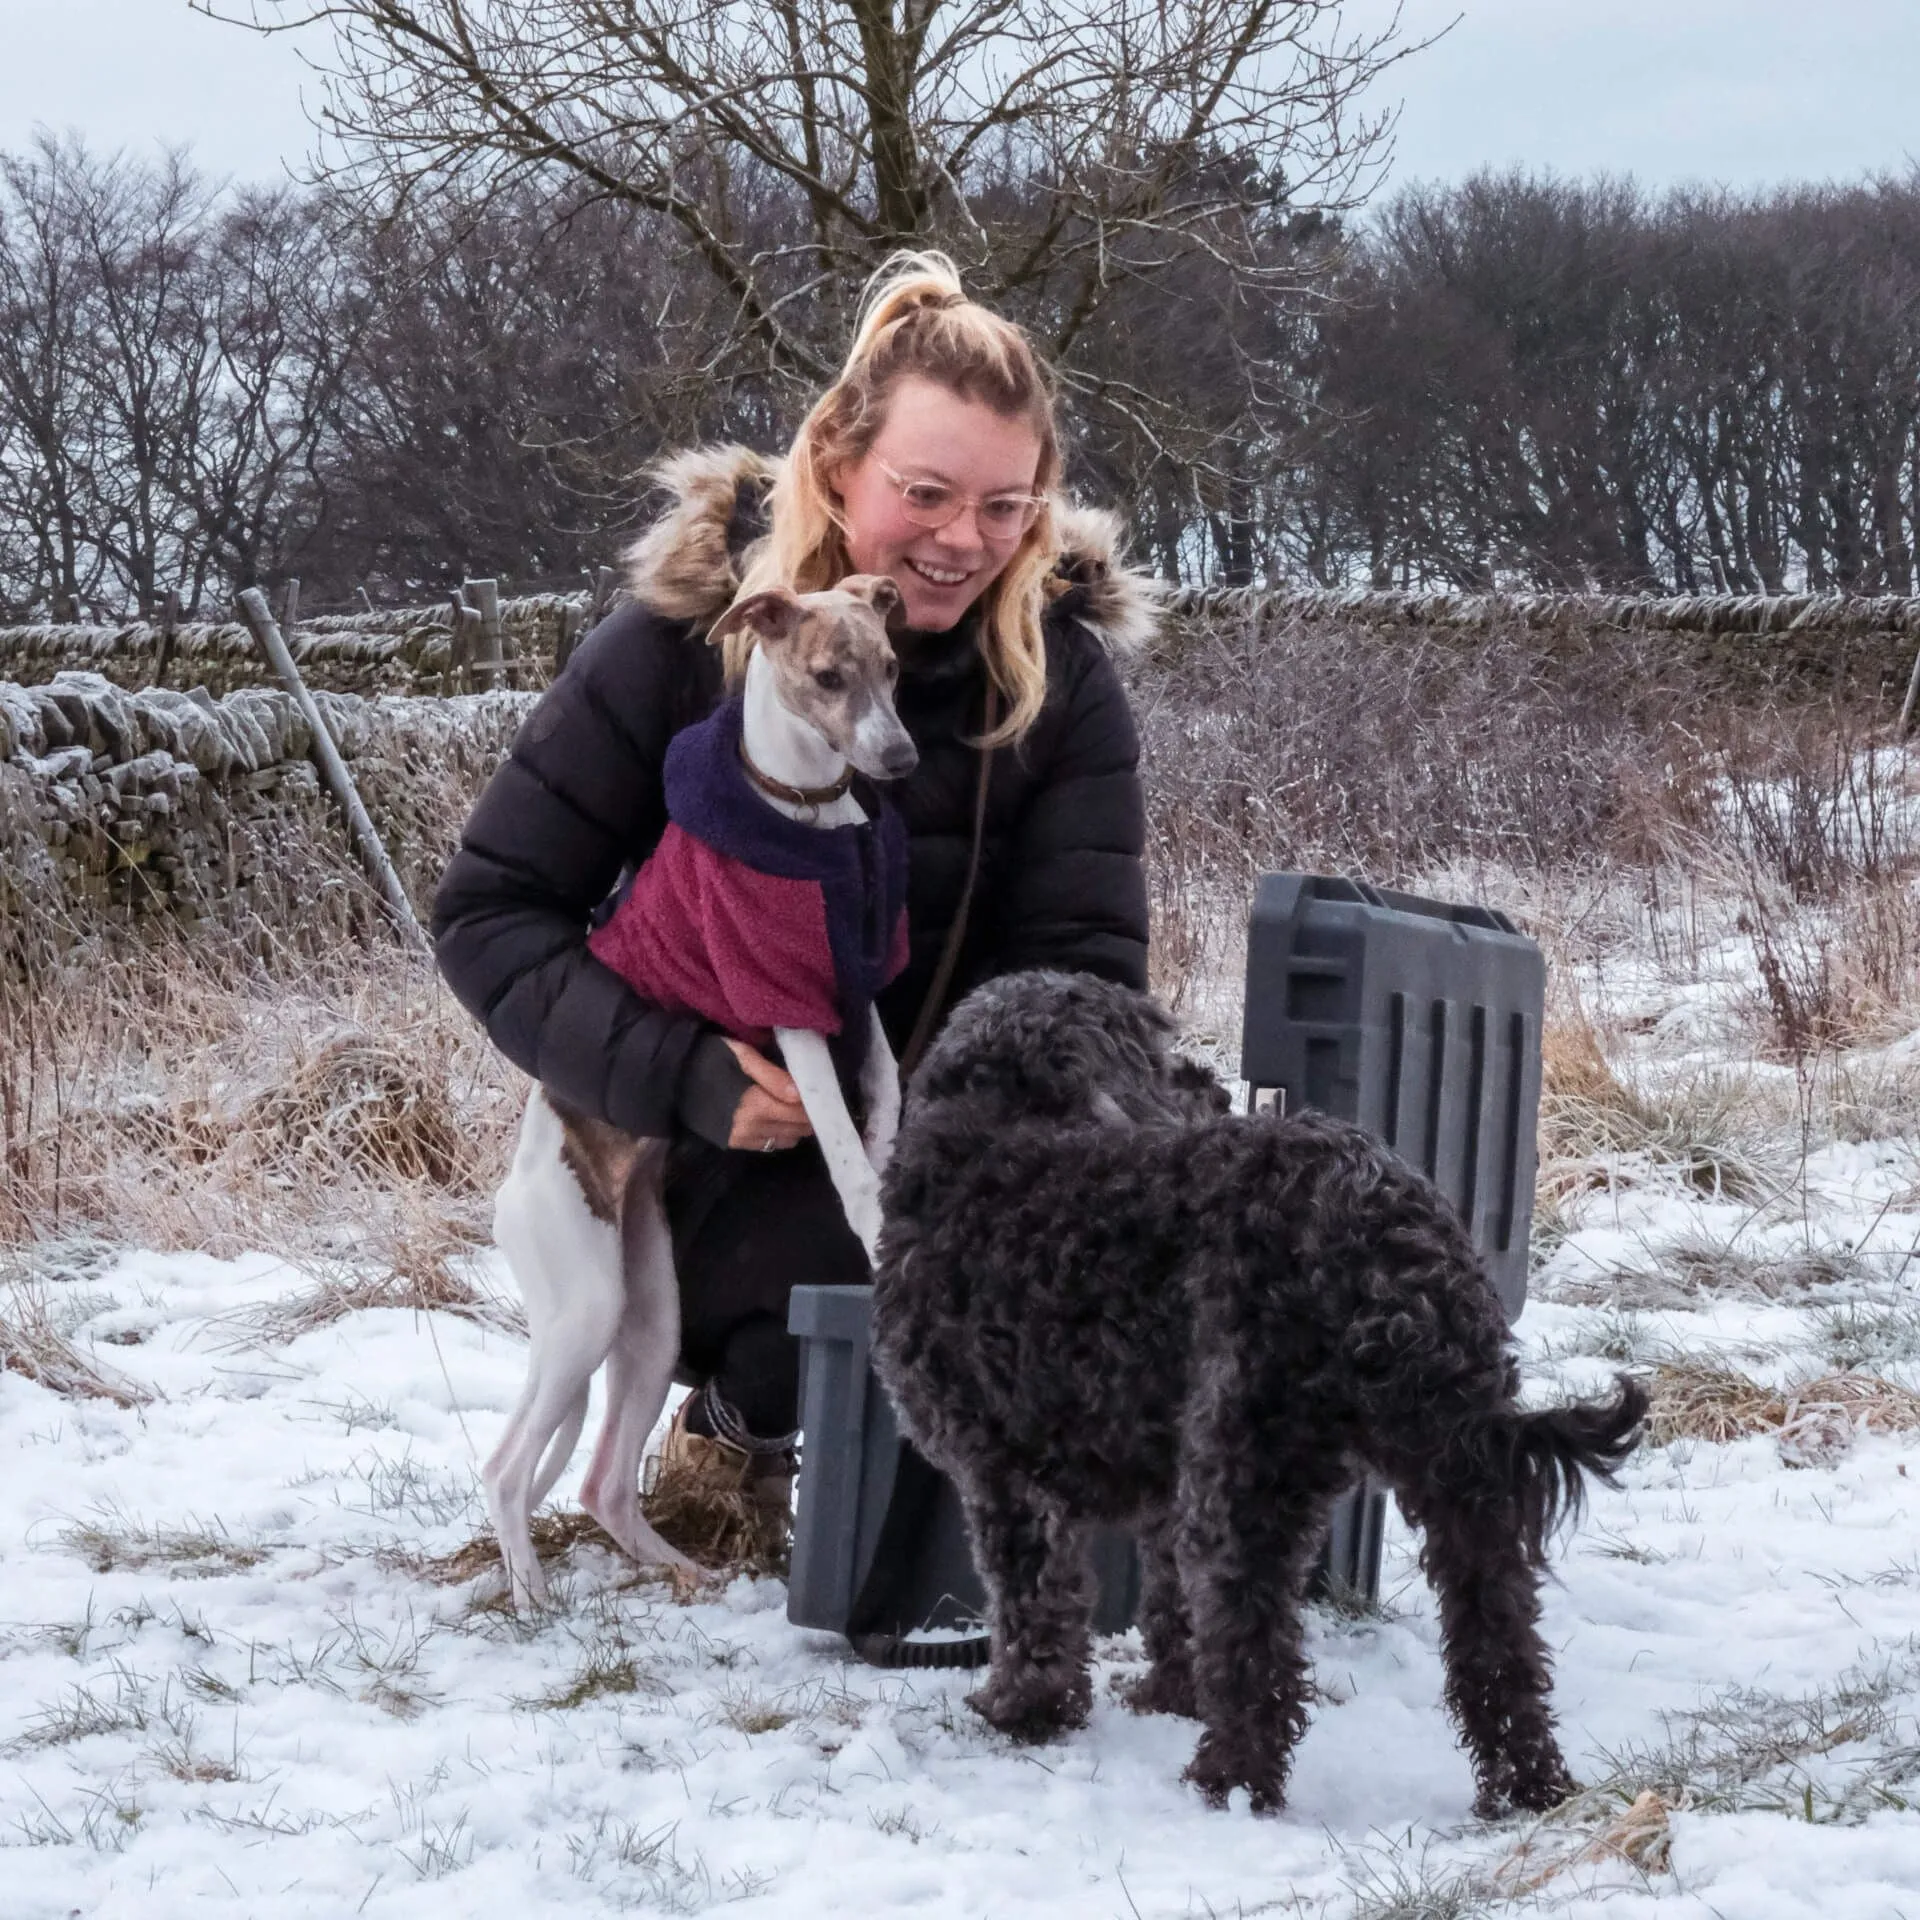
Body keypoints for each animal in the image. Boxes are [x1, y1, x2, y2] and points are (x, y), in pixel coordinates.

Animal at [879, 967, 1643, 1820]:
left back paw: (1229, 1782)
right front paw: (1169, 1695)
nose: (1211, 1085)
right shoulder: (1158, 1484)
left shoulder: (1005, 1479)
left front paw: (1021, 1710)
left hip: (1246, 1477)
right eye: (1161, 1051)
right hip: (1460, 1482)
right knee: (1500, 1644)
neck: (993, 1132)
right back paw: (1528, 1787)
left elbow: (1033, 1608)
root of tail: (1386, 1245)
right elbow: (1168, 1606)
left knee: (1259, 1654)